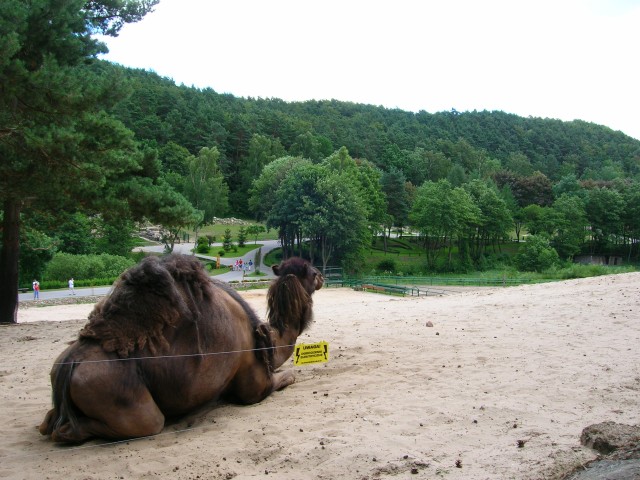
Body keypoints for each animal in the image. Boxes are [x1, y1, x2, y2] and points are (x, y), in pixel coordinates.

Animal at [37, 253, 322, 444]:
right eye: (310, 271)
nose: (321, 275)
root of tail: (69, 365)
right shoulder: (254, 385)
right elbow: (286, 377)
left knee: (49, 422)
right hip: (120, 397)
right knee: (143, 422)